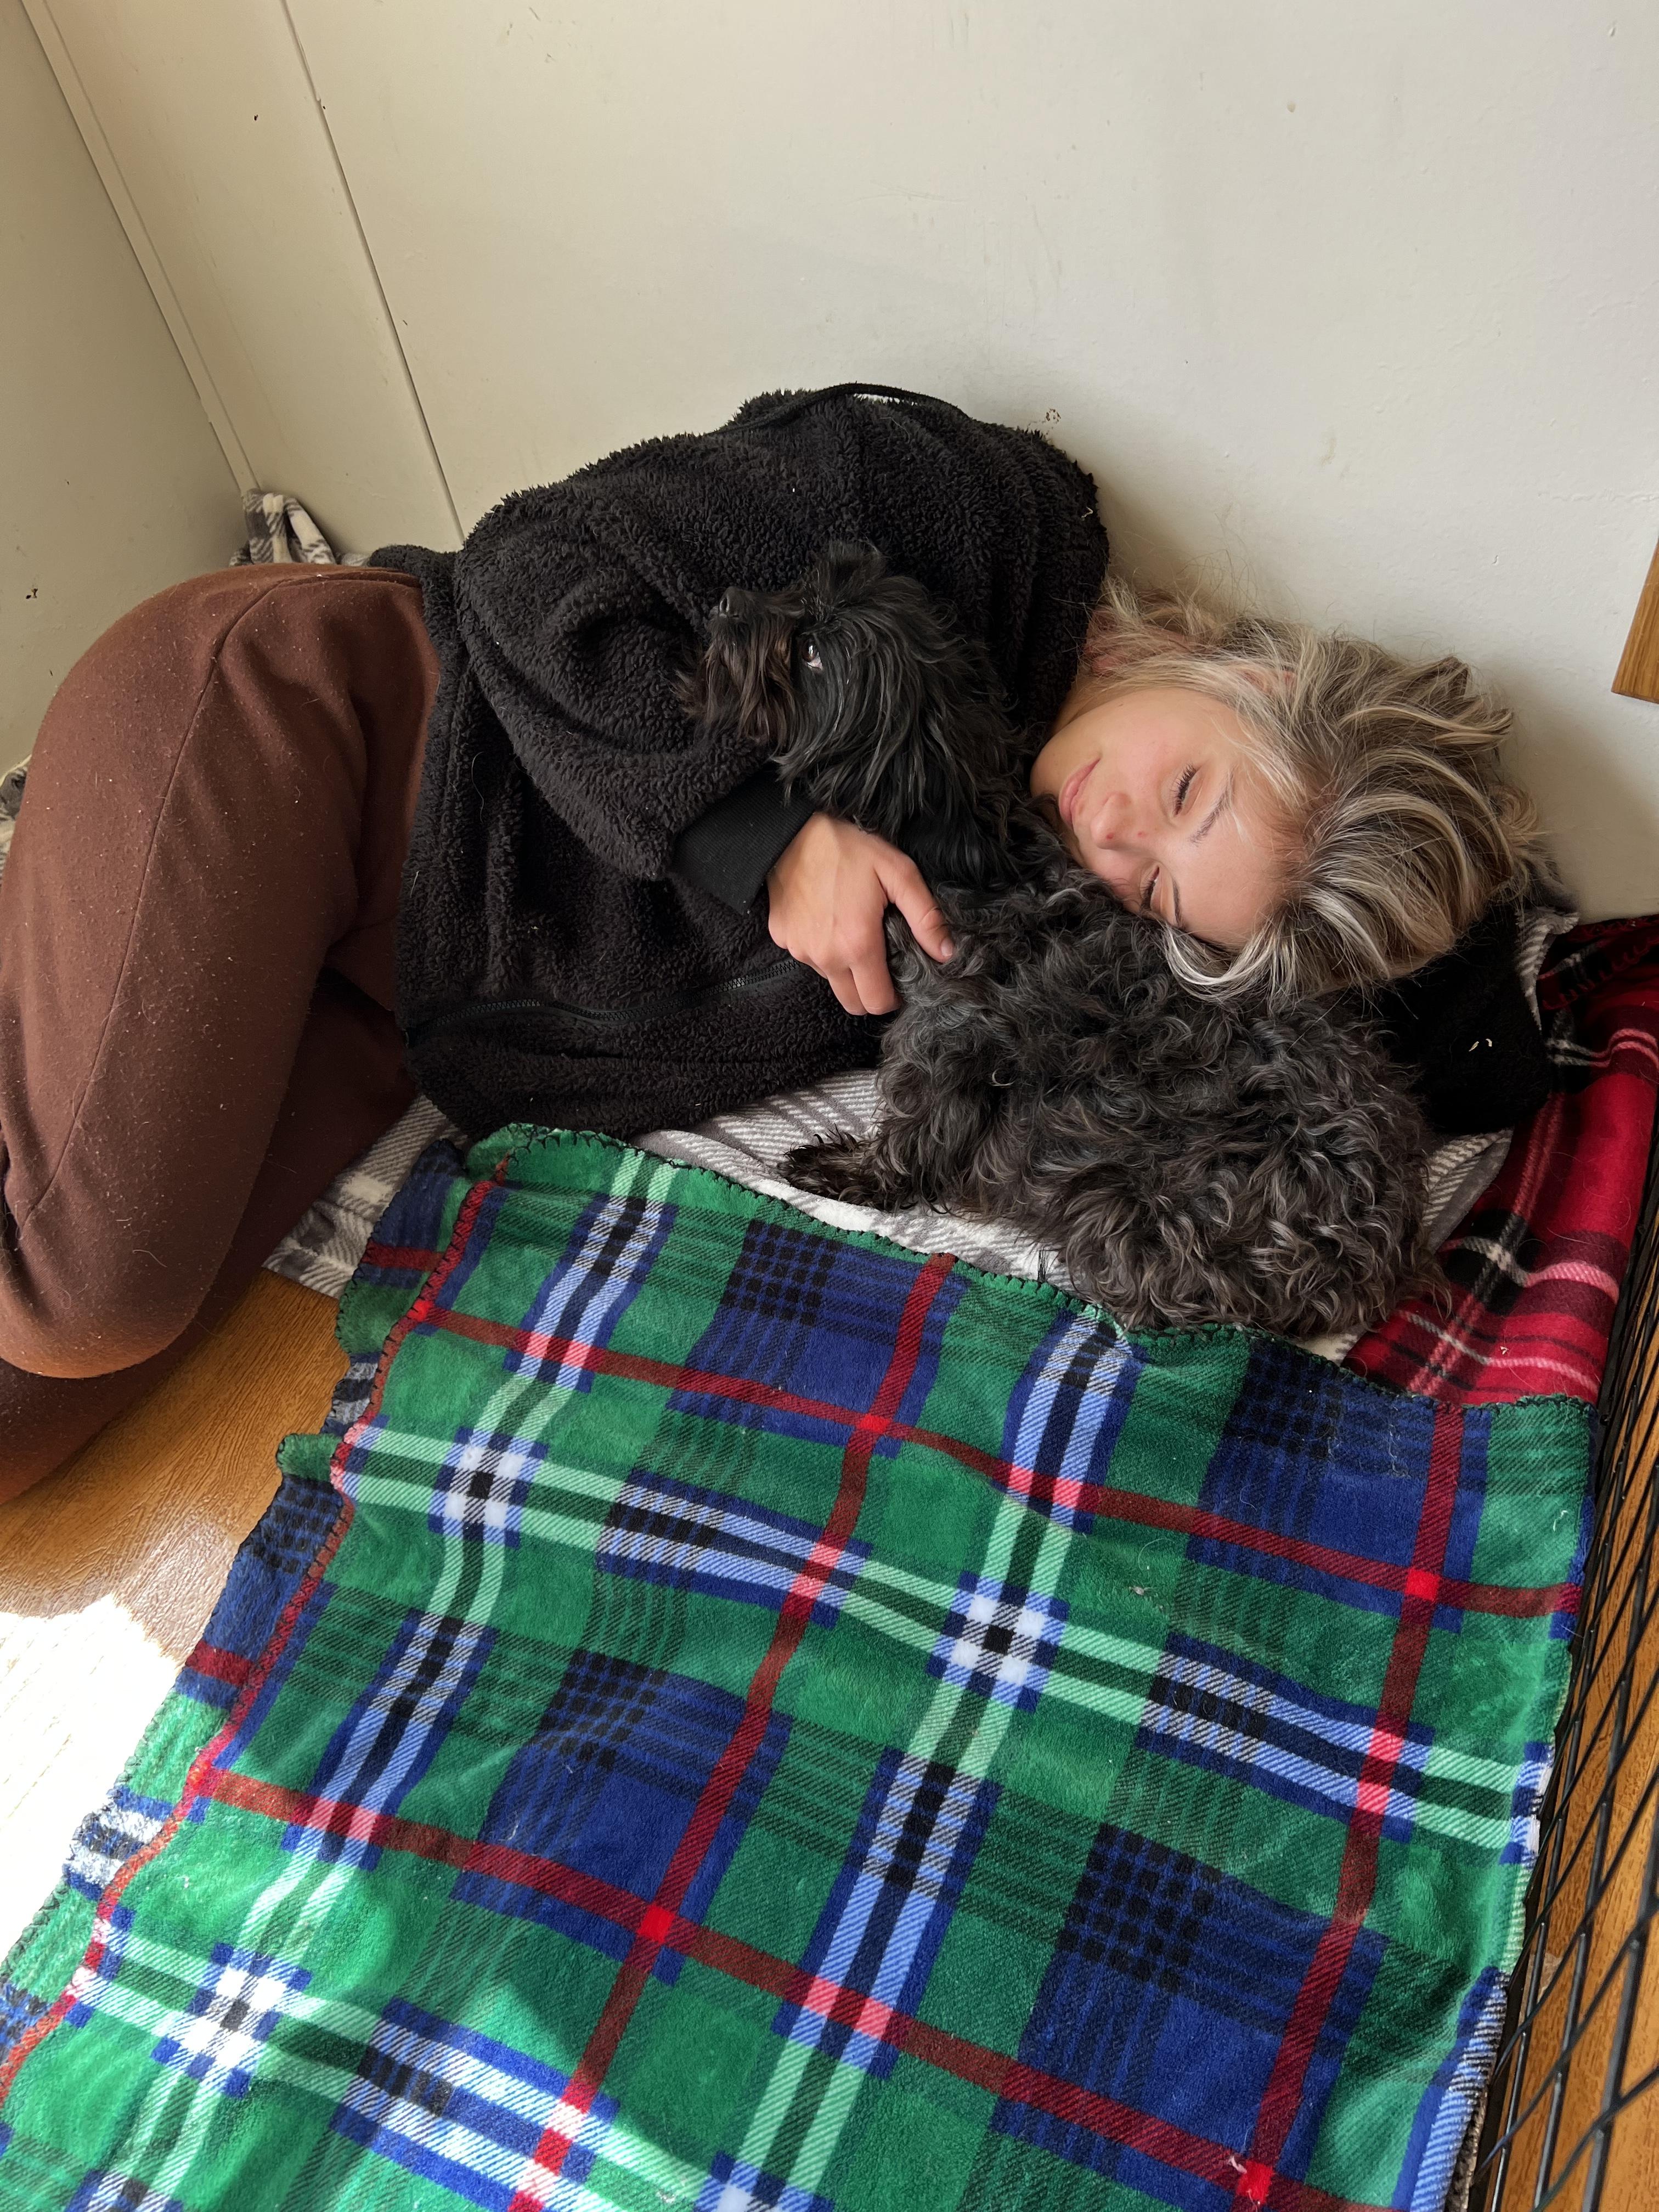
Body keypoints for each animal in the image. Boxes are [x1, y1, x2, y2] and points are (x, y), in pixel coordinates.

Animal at [683, 543, 1433, 1336]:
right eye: (807, 583)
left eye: (812, 654)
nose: (726, 603)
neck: (973, 843)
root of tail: (1389, 1255)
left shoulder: (949, 1037)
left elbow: (915, 1133)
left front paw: (850, 1174)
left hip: (1125, 1213)